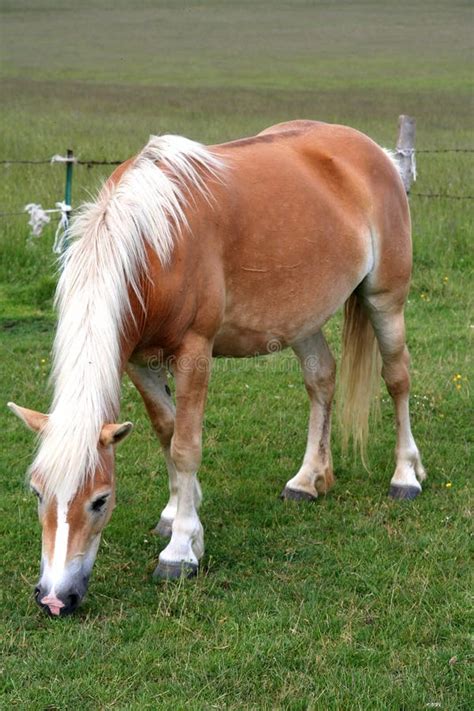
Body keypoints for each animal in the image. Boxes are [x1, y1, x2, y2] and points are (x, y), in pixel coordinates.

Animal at [8, 119, 426, 616]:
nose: (55, 598)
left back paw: (405, 476)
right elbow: (166, 432)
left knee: (397, 379)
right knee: (322, 379)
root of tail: (375, 153)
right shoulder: (138, 362)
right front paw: (176, 514)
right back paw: (308, 480)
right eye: (37, 492)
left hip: (386, 300)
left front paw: (181, 550)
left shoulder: (194, 354)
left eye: (100, 500)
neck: (154, 243)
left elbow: (186, 446)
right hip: (301, 319)